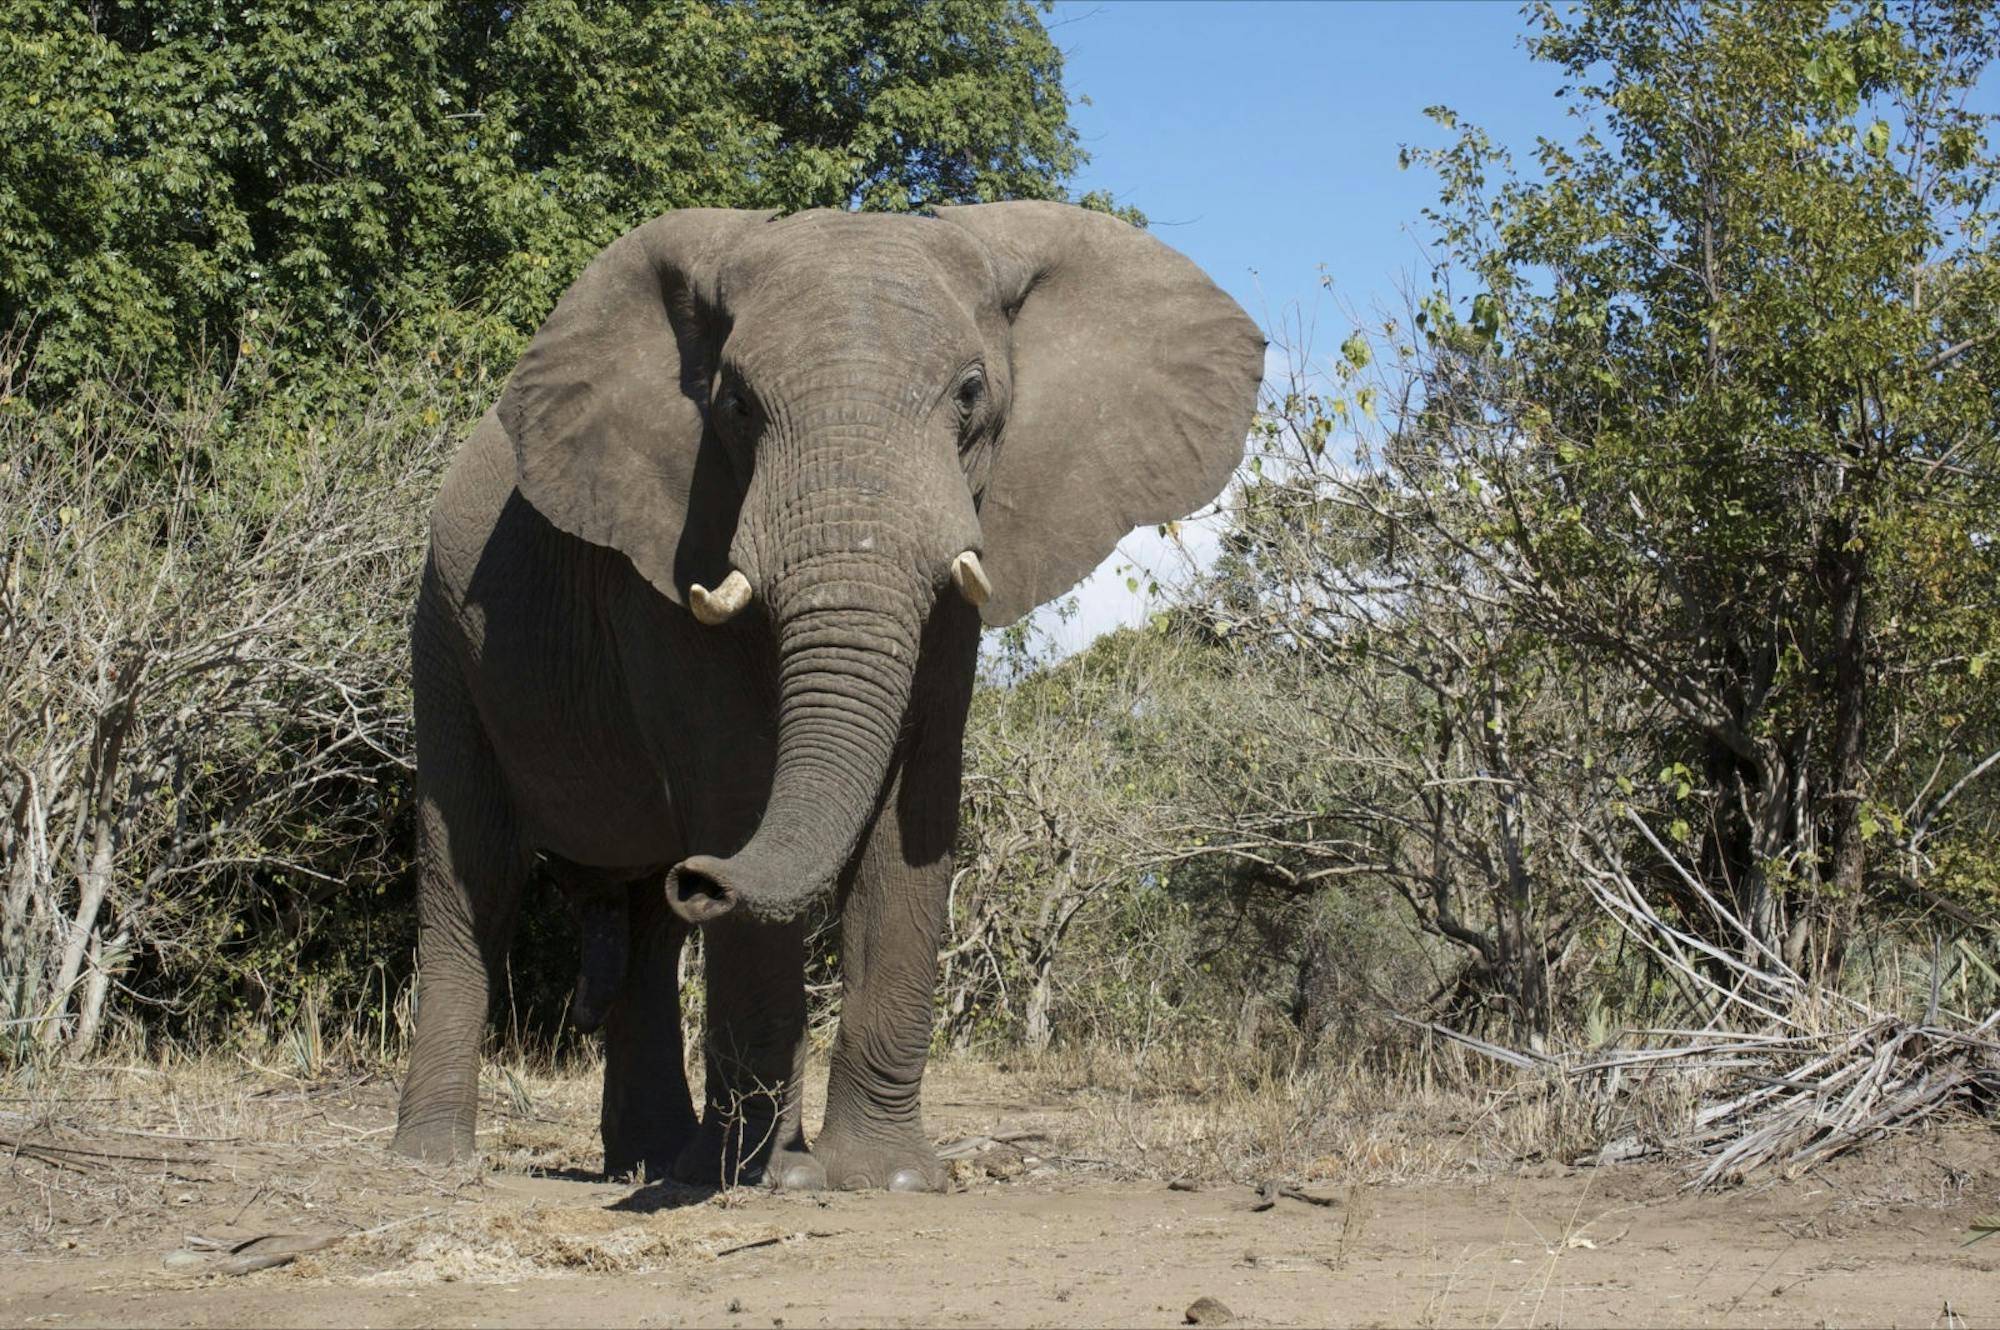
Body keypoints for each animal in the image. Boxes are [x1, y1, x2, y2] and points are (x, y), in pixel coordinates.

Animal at [389, 201, 1262, 1190]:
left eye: (970, 394)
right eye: (735, 407)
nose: (706, 878)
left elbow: (913, 811)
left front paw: (884, 1179)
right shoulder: (666, 554)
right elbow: (734, 781)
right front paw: (760, 1179)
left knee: (648, 921)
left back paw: (650, 1161)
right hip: (443, 629)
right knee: (474, 875)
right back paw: (438, 1161)